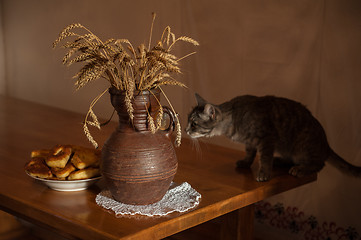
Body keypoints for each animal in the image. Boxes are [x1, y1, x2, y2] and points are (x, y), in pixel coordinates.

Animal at [186, 94, 360, 182]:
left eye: (194, 124)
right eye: (188, 121)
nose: (186, 130)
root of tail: (326, 145)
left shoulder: (266, 138)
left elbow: (264, 158)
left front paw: (263, 173)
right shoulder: (251, 142)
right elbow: (250, 153)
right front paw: (246, 162)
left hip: (302, 147)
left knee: (319, 164)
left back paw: (301, 169)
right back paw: (279, 161)